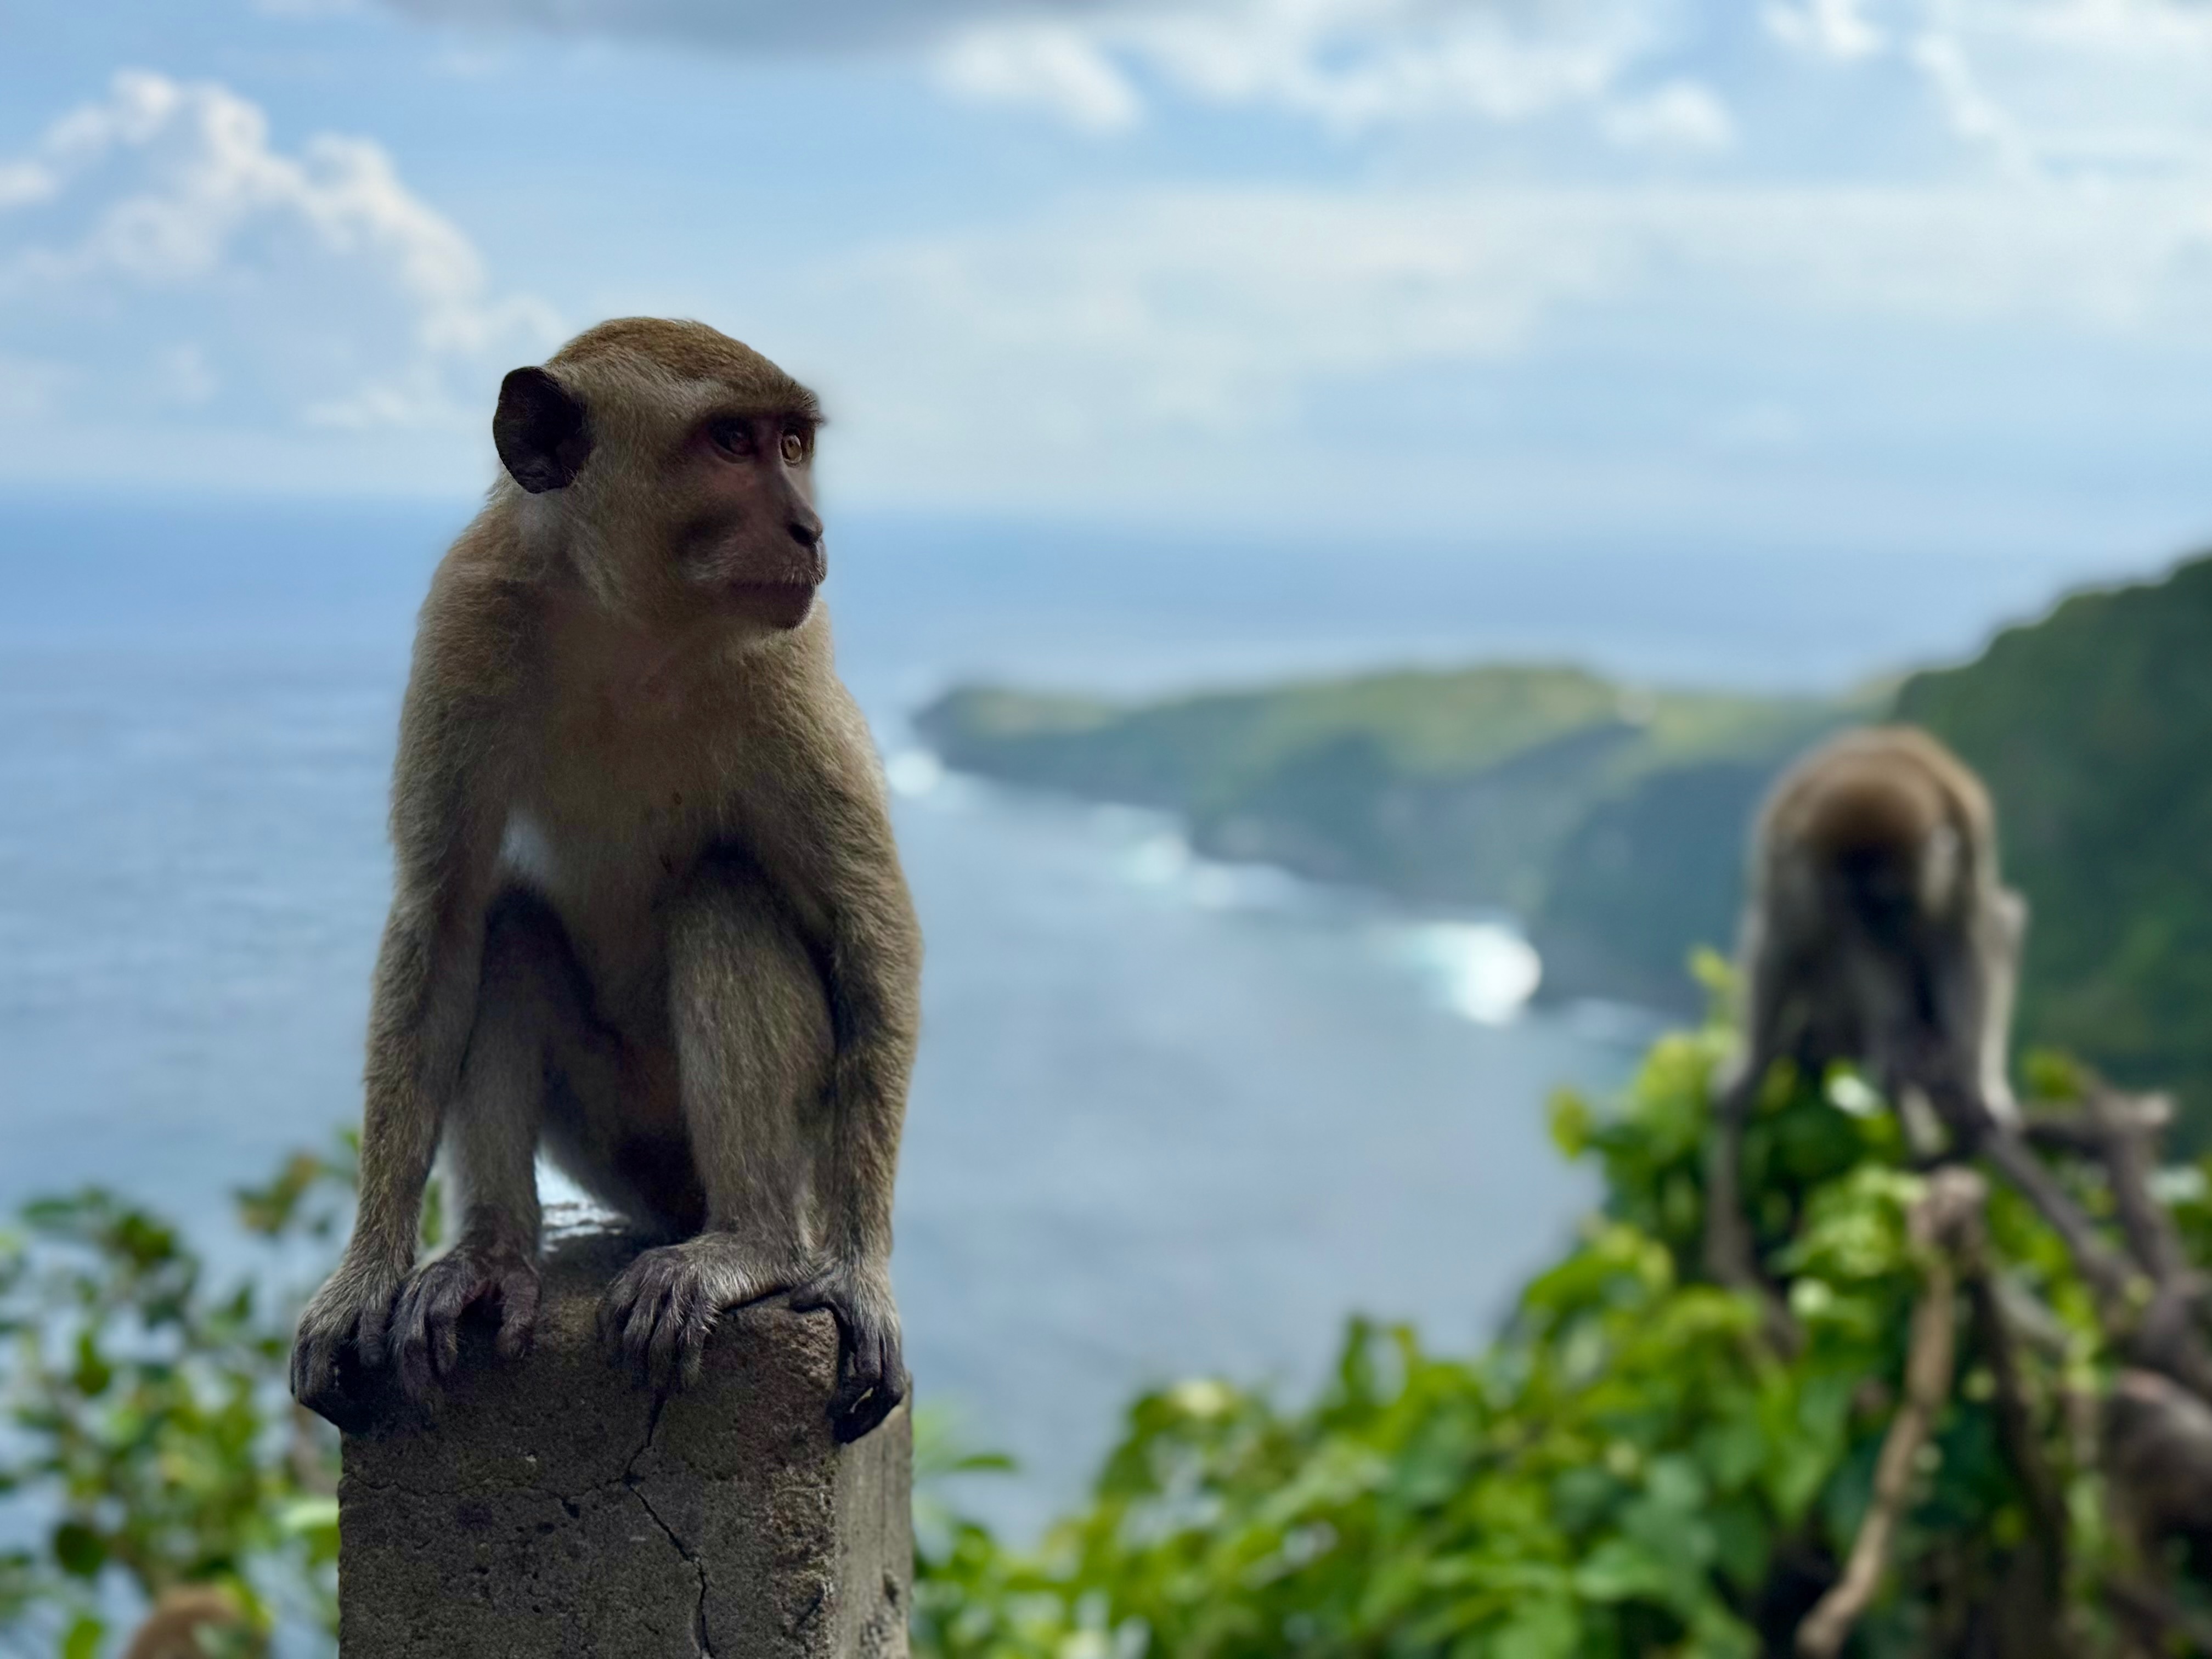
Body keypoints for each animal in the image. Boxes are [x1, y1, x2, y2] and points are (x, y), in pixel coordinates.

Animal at [289, 319, 920, 1444]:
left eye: (793, 441)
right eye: (731, 441)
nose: (808, 527)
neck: (634, 624)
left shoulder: (788, 662)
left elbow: (868, 928)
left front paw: (858, 1276)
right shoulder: (468, 617)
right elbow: (442, 918)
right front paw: (362, 1279)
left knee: (723, 895)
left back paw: (751, 1244)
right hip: (607, 1136)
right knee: (508, 926)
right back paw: (492, 1255)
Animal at [1703, 725, 2026, 1320]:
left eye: (1891, 900)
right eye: (1868, 904)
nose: (1883, 923)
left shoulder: (1972, 843)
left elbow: (1971, 930)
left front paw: (1977, 1082)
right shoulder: (1828, 888)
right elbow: (1845, 945)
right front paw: (1898, 1044)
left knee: (1997, 919)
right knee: (1792, 935)